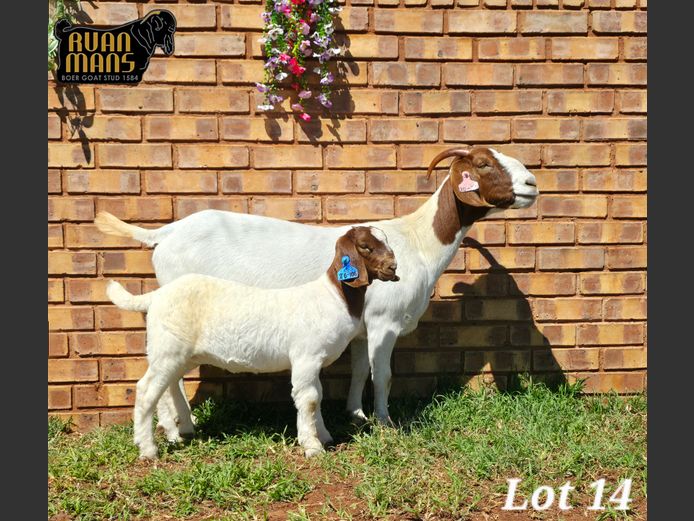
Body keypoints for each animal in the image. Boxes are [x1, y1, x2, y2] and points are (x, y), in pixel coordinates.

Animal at [107, 226, 399, 459]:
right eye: (365, 246)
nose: (393, 268)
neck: (333, 296)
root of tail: (155, 296)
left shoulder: (312, 362)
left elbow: (317, 395)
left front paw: (324, 435)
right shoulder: (306, 356)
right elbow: (309, 399)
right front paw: (312, 446)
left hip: (178, 354)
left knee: (167, 388)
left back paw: (178, 434)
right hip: (168, 348)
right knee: (146, 390)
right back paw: (148, 449)